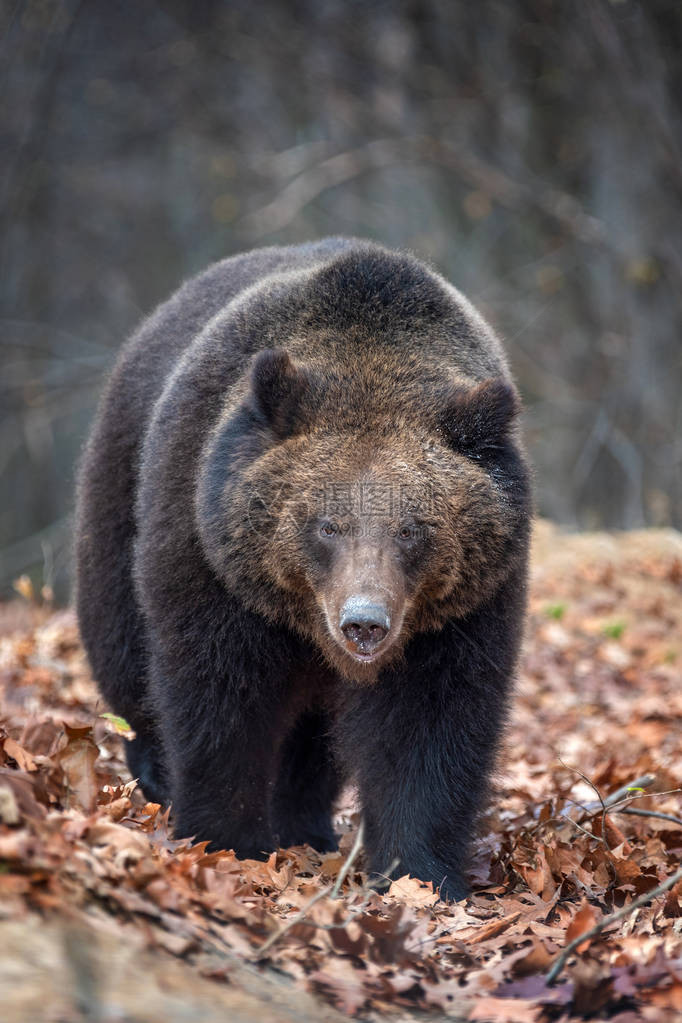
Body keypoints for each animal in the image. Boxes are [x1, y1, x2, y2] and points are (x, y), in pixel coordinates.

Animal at [76, 237, 531, 896]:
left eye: (412, 528)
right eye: (326, 524)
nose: (364, 622)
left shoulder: (463, 609)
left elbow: (431, 723)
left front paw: (418, 872)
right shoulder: (211, 558)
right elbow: (217, 693)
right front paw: (226, 839)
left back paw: (306, 827)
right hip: (119, 493)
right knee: (122, 649)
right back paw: (158, 773)